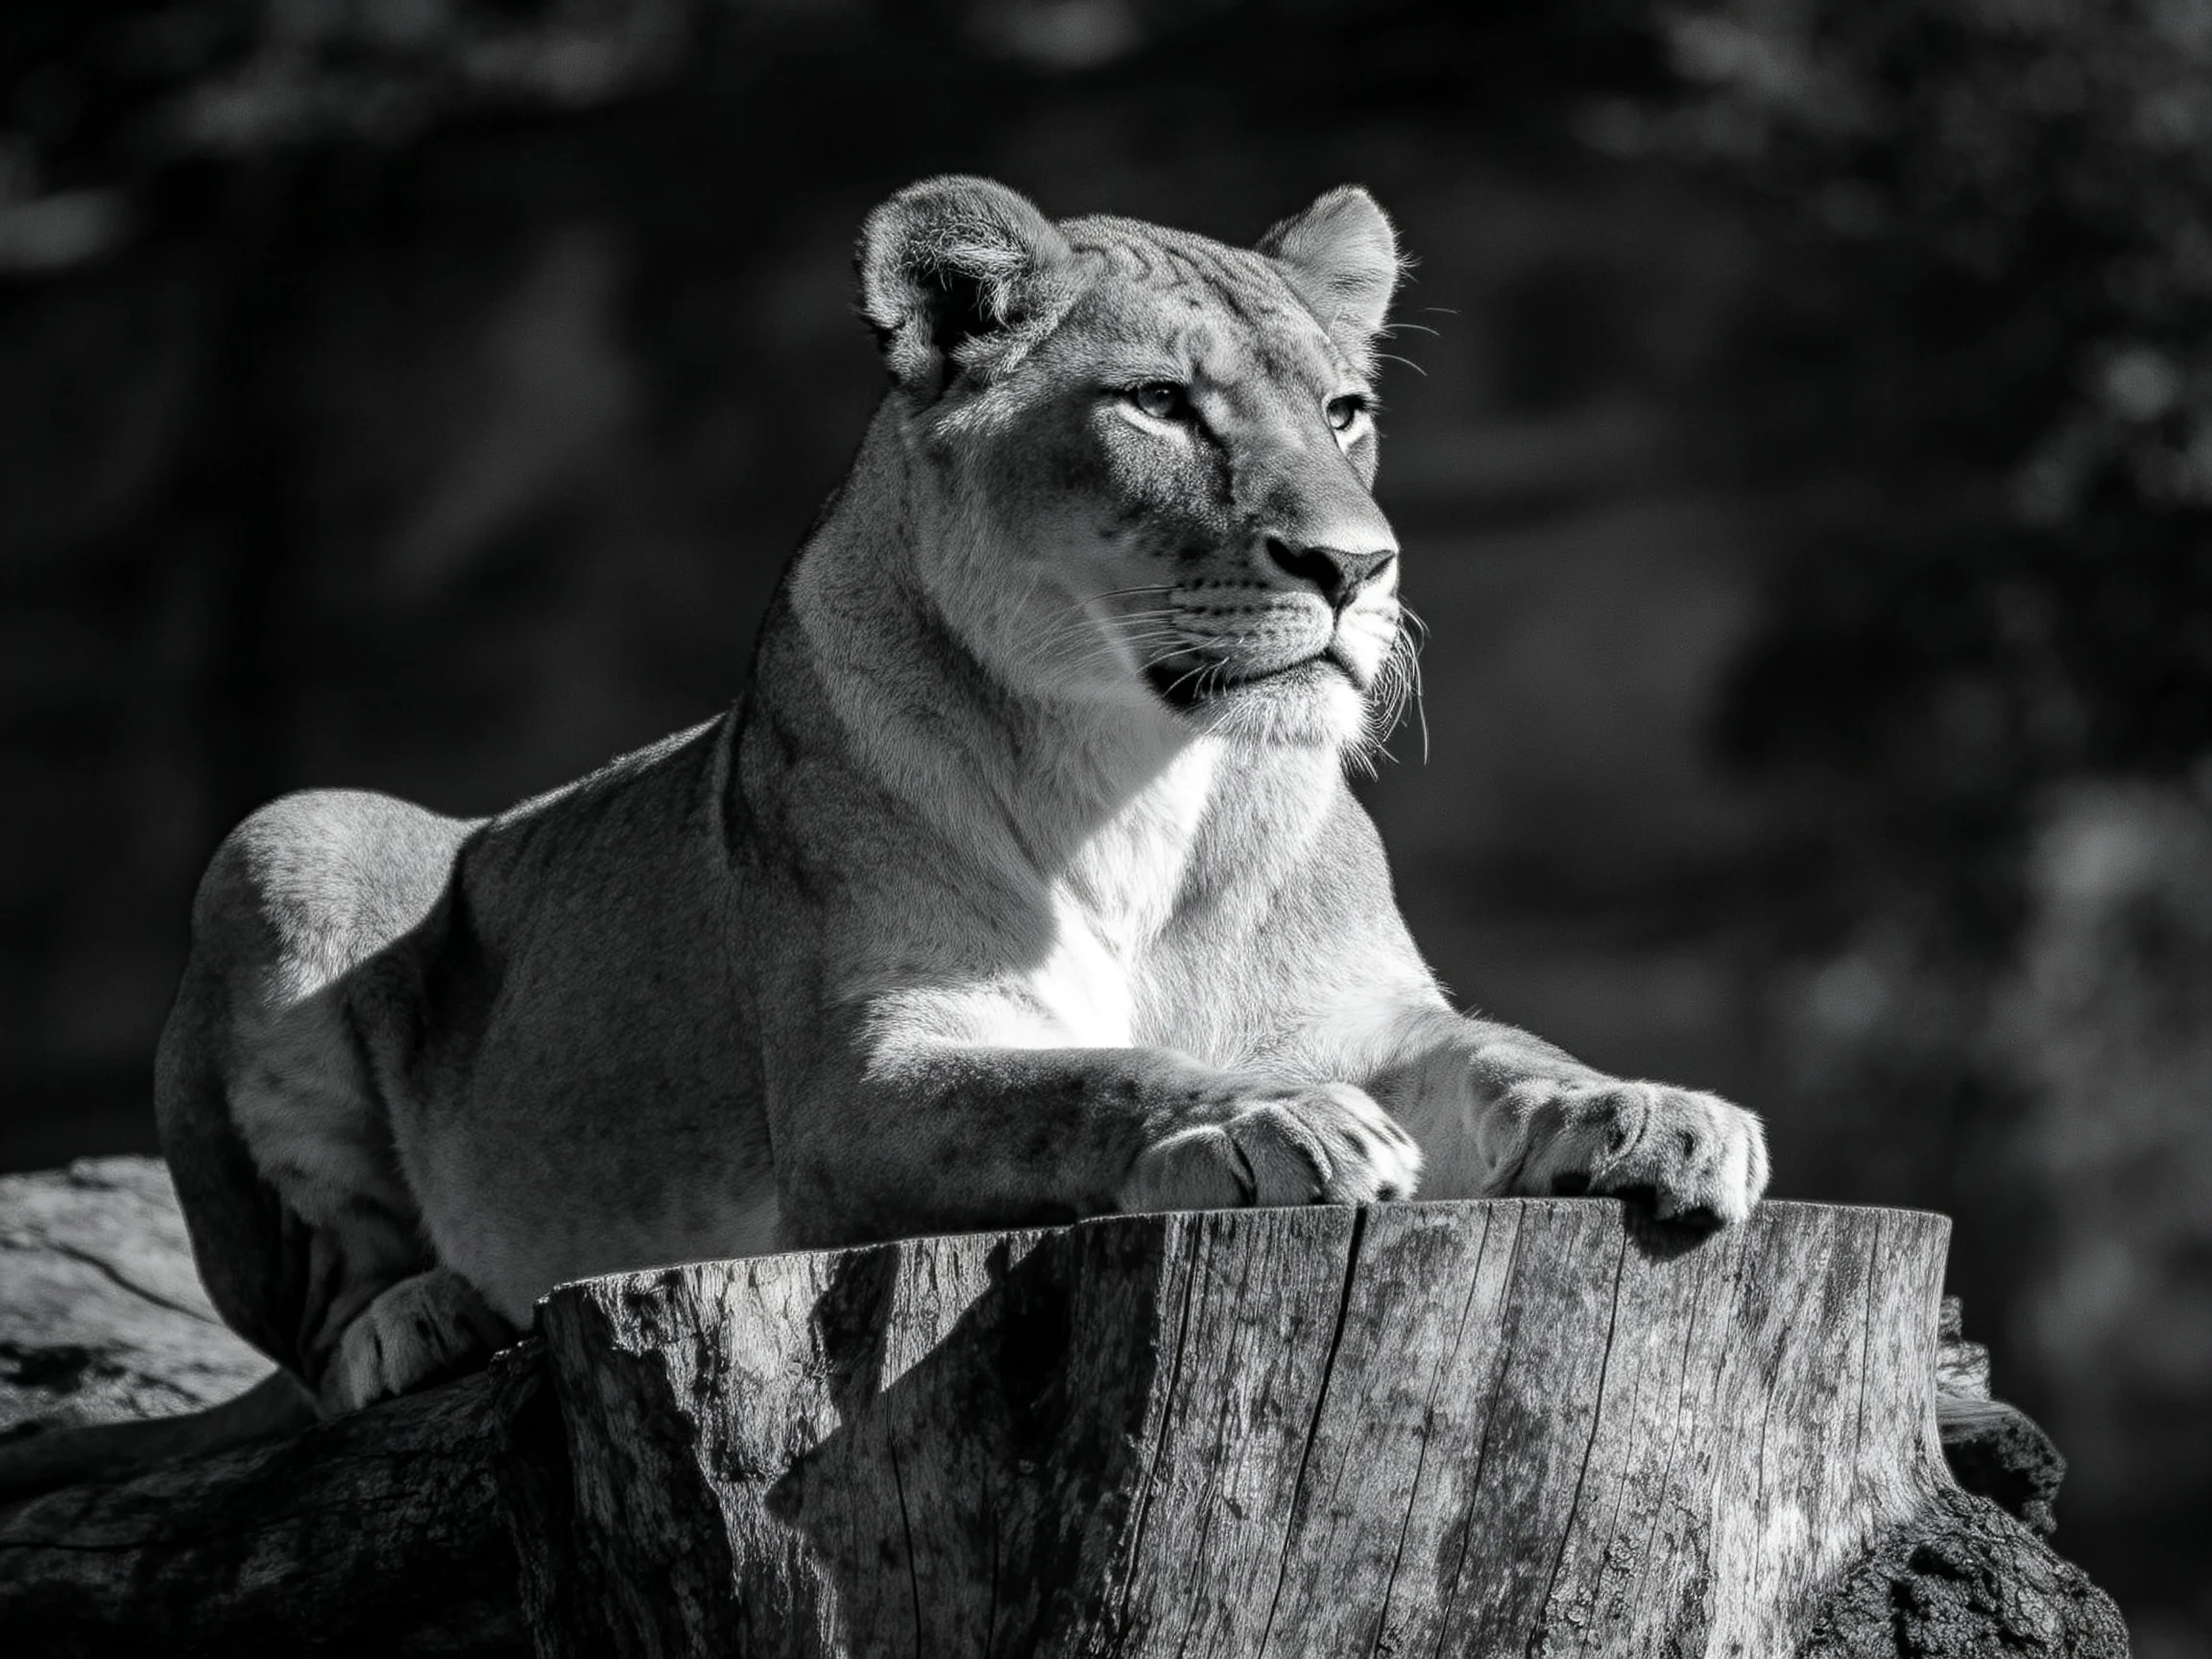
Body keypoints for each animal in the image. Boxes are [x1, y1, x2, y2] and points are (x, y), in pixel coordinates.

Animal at [6, 177, 1767, 1488]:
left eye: (1343, 411)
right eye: (1160, 404)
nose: (1356, 566)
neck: (1147, 772)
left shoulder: (1375, 1014)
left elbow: (1505, 1050)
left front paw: (1653, 1112)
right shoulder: (861, 1090)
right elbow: (1090, 1079)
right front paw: (1274, 1123)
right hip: (288, 836)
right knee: (303, 1329)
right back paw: (416, 1318)